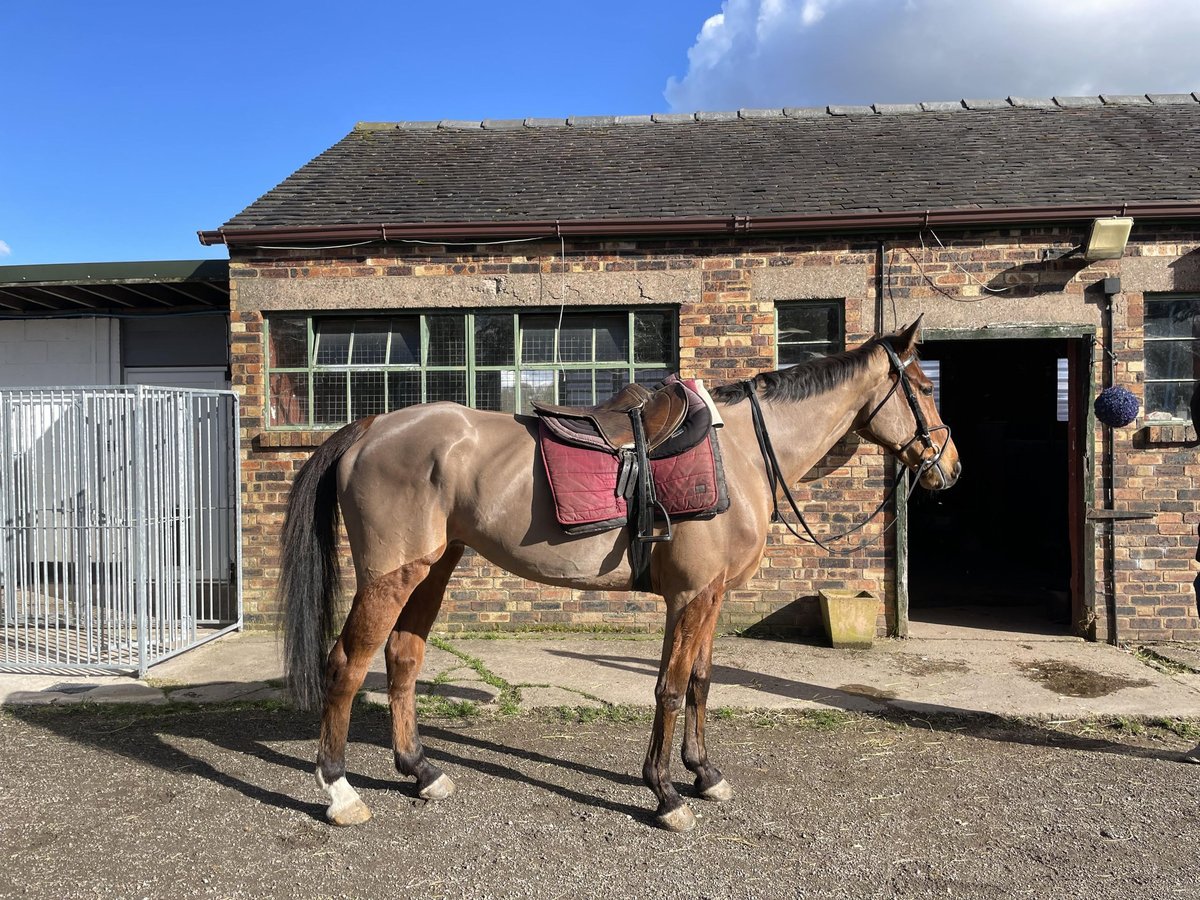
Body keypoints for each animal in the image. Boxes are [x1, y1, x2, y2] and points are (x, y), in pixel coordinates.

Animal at [276, 321, 960, 835]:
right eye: (924, 386)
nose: (948, 466)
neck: (739, 452)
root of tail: (370, 427)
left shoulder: (712, 597)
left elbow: (701, 684)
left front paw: (704, 774)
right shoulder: (689, 597)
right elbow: (669, 688)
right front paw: (665, 794)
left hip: (433, 569)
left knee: (403, 658)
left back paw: (421, 770)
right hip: (391, 576)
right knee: (347, 664)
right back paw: (340, 792)